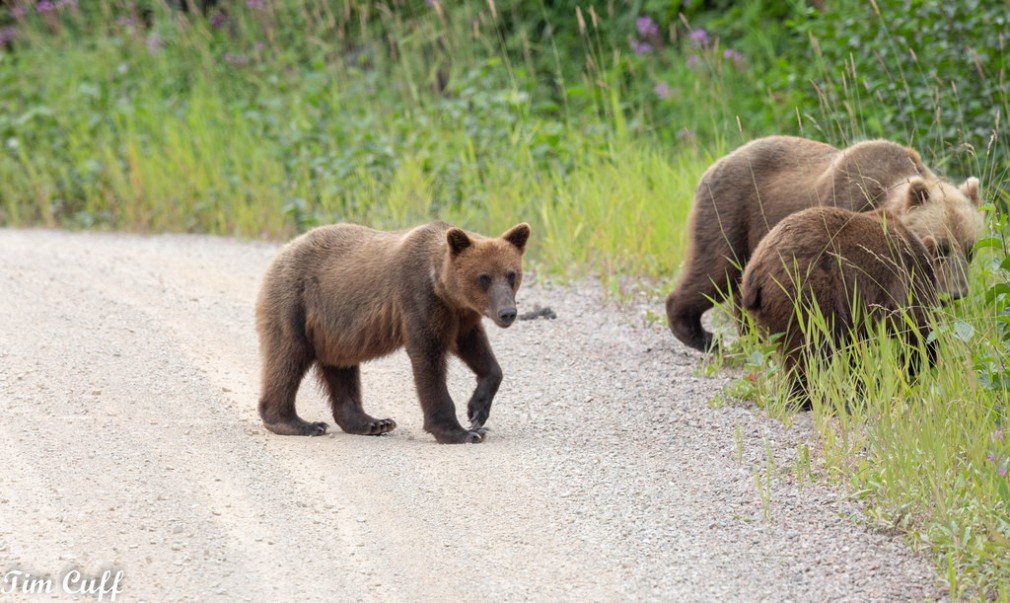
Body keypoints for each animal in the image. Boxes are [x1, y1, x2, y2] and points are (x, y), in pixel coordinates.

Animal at [256, 220, 533, 442]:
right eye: (483, 277)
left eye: (511, 274)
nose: (507, 312)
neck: (444, 288)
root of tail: (284, 249)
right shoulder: (419, 298)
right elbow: (429, 357)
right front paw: (461, 432)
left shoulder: (461, 315)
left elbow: (477, 350)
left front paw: (477, 412)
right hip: (295, 302)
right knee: (288, 356)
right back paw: (299, 424)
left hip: (334, 330)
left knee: (341, 368)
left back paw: (372, 422)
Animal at [662, 135, 977, 353]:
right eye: (942, 248)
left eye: (970, 250)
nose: (956, 293)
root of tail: (714, 164)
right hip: (731, 211)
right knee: (714, 269)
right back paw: (704, 337)